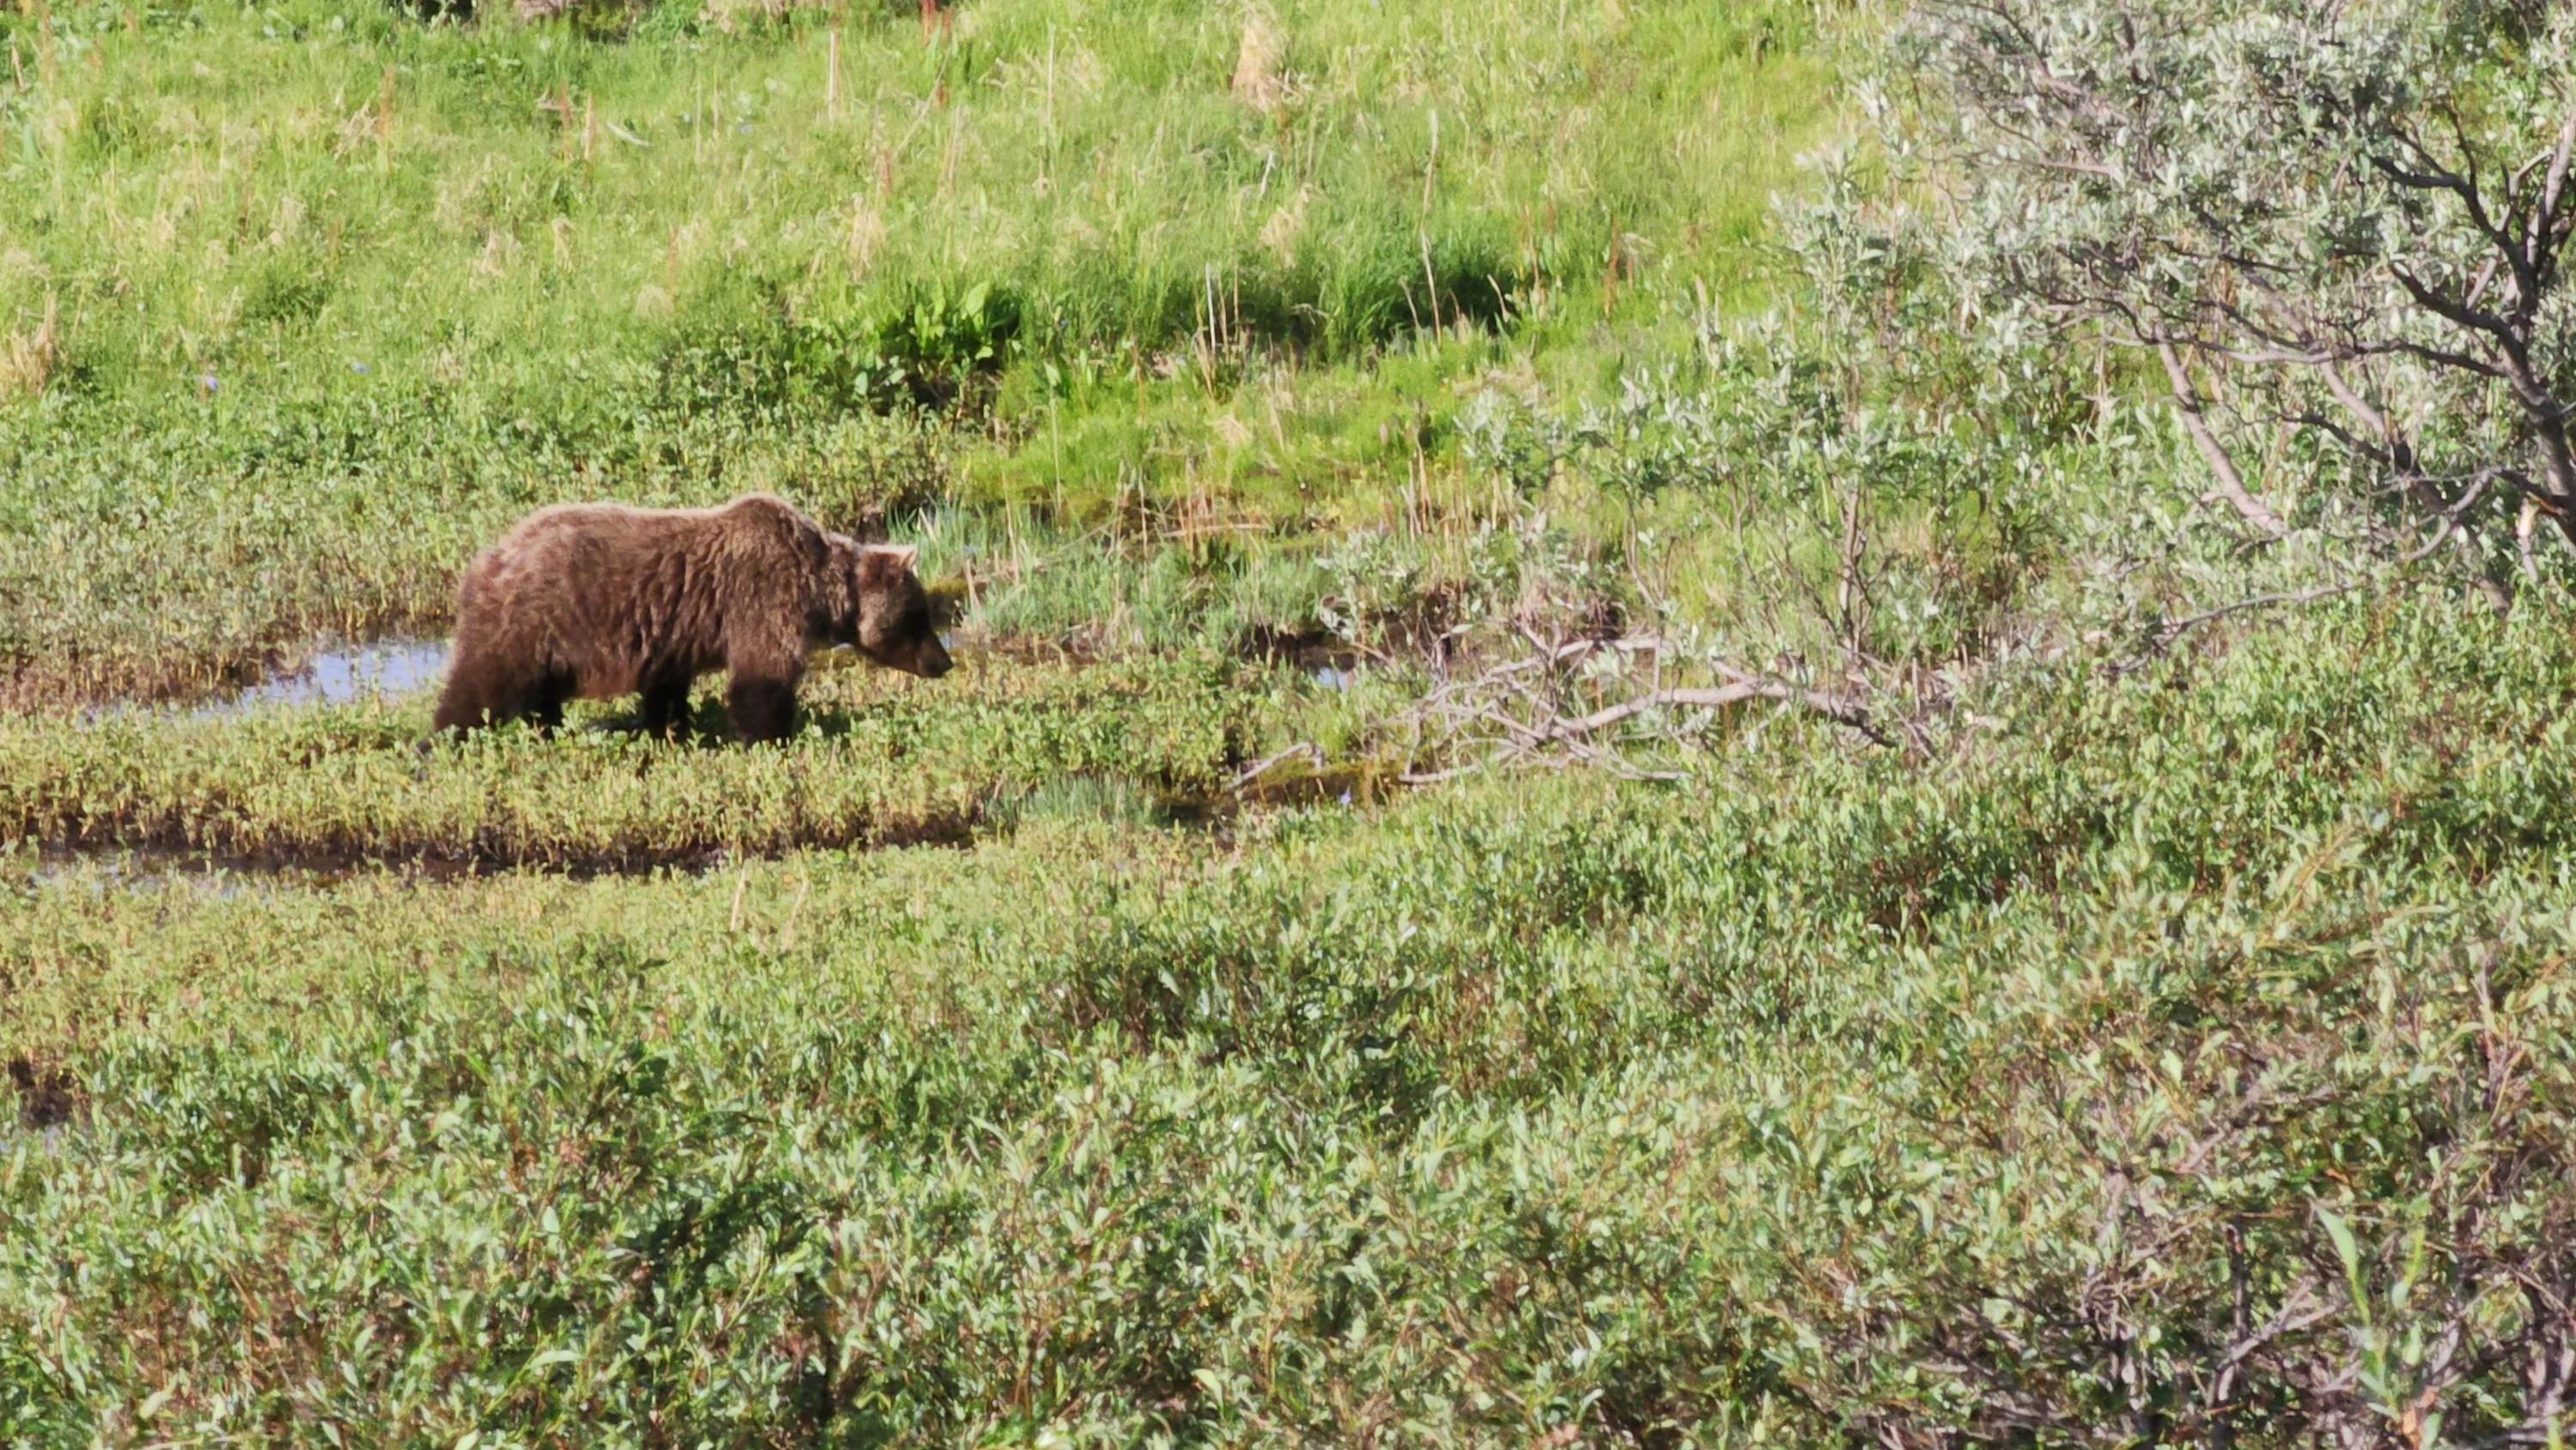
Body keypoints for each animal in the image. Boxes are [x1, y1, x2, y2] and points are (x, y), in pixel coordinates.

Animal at [431, 492, 950, 743]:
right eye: (920, 615)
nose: (944, 662)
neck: (819, 590)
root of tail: (485, 559)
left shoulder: (671, 635)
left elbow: (667, 689)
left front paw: (671, 727)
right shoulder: (761, 598)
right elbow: (762, 679)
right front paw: (772, 738)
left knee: (537, 698)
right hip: (527, 621)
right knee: (481, 687)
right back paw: (439, 742)